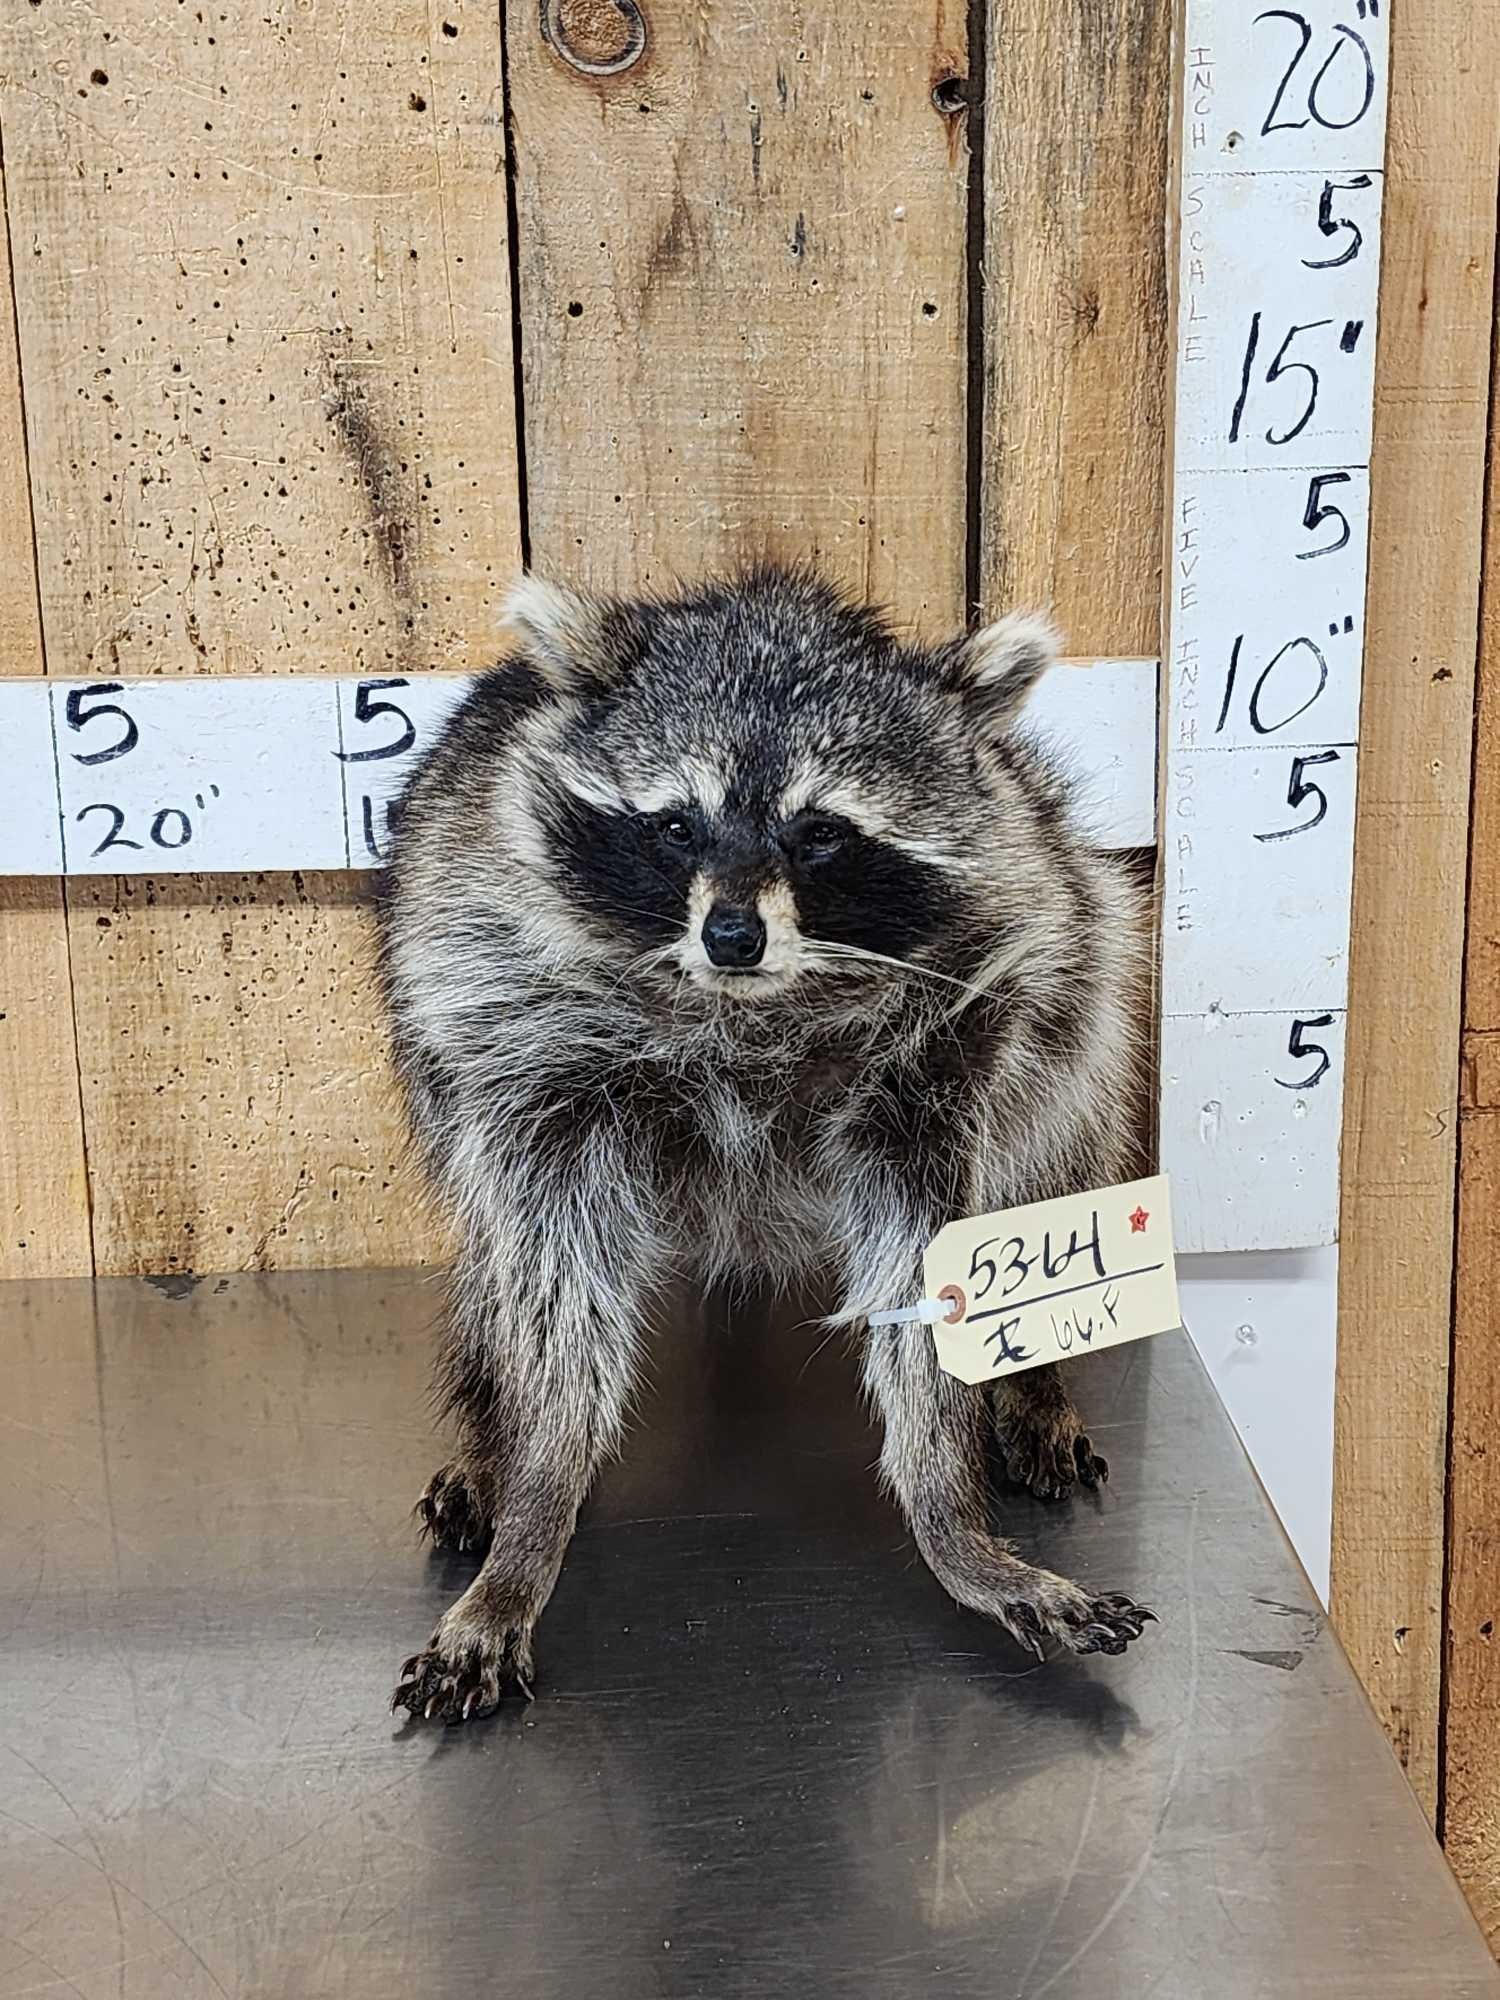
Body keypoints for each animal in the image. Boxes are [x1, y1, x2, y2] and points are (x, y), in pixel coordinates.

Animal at [381, 565, 1153, 1724]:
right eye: (675, 825)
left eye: (821, 831)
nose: (732, 935)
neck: (753, 1007)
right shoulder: (518, 1030)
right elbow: (555, 1290)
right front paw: (535, 1501)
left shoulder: (951, 1039)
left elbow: (930, 1274)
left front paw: (949, 1509)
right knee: (495, 1260)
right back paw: (491, 1428)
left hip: (1076, 971)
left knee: (1063, 1124)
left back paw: (1033, 1379)